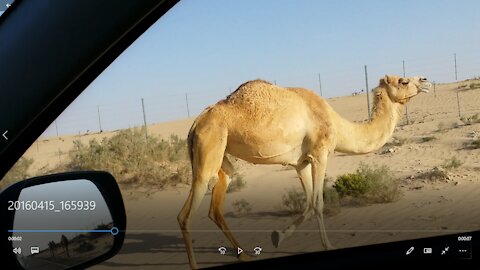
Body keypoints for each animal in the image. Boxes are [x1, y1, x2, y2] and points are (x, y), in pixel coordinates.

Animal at [178, 74, 434, 268]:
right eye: (403, 81)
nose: (425, 80)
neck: (337, 124)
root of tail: (195, 124)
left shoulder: (301, 162)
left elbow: (309, 204)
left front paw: (277, 236)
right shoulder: (321, 153)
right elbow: (318, 204)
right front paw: (328, 245)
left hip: (220, 157)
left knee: (214, 207)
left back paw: (244, 255)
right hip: (209, 148)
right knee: (186, 214)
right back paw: (195, 265)